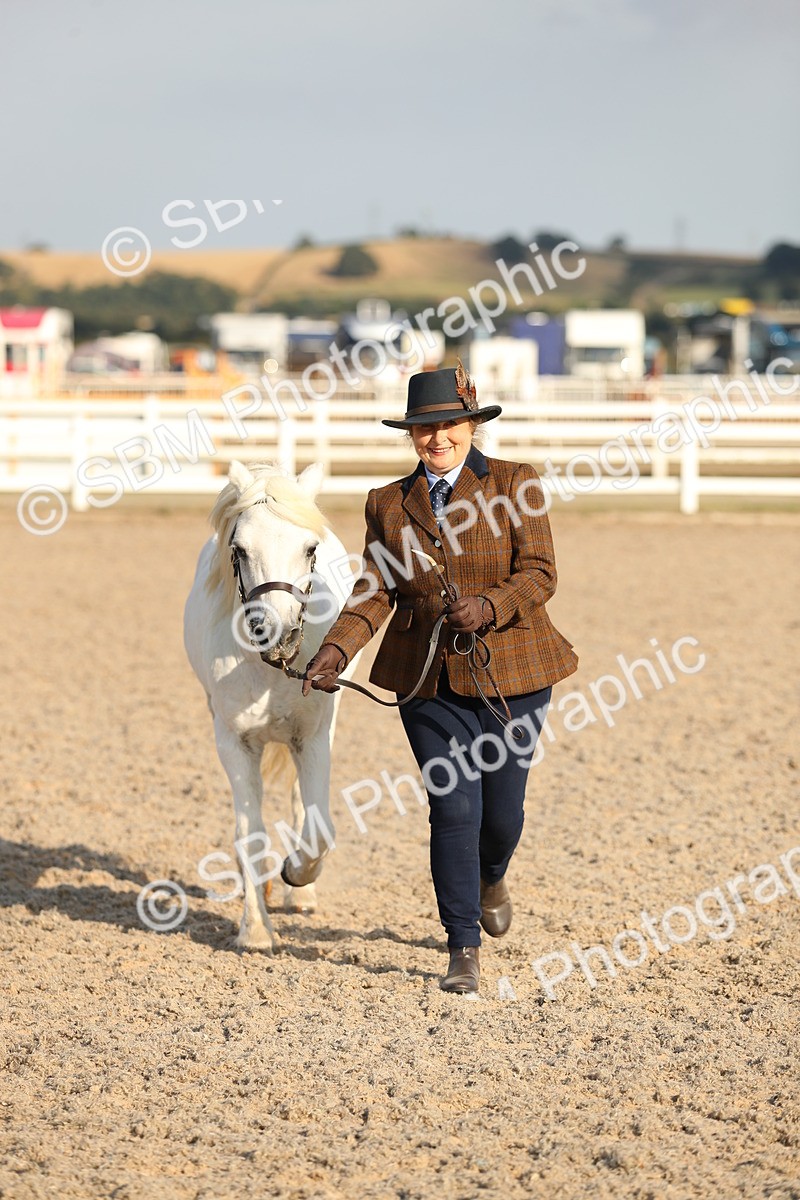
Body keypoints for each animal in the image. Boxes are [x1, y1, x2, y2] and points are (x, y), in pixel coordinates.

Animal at [183, 459, 359, 952]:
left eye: (310, 548)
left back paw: (300, 893)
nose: (274, 632)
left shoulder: (312, 739)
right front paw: (256, 929)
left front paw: (297, 875)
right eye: (239, 549)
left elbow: (318, 829)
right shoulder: (234, 743)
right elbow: (250, 833)